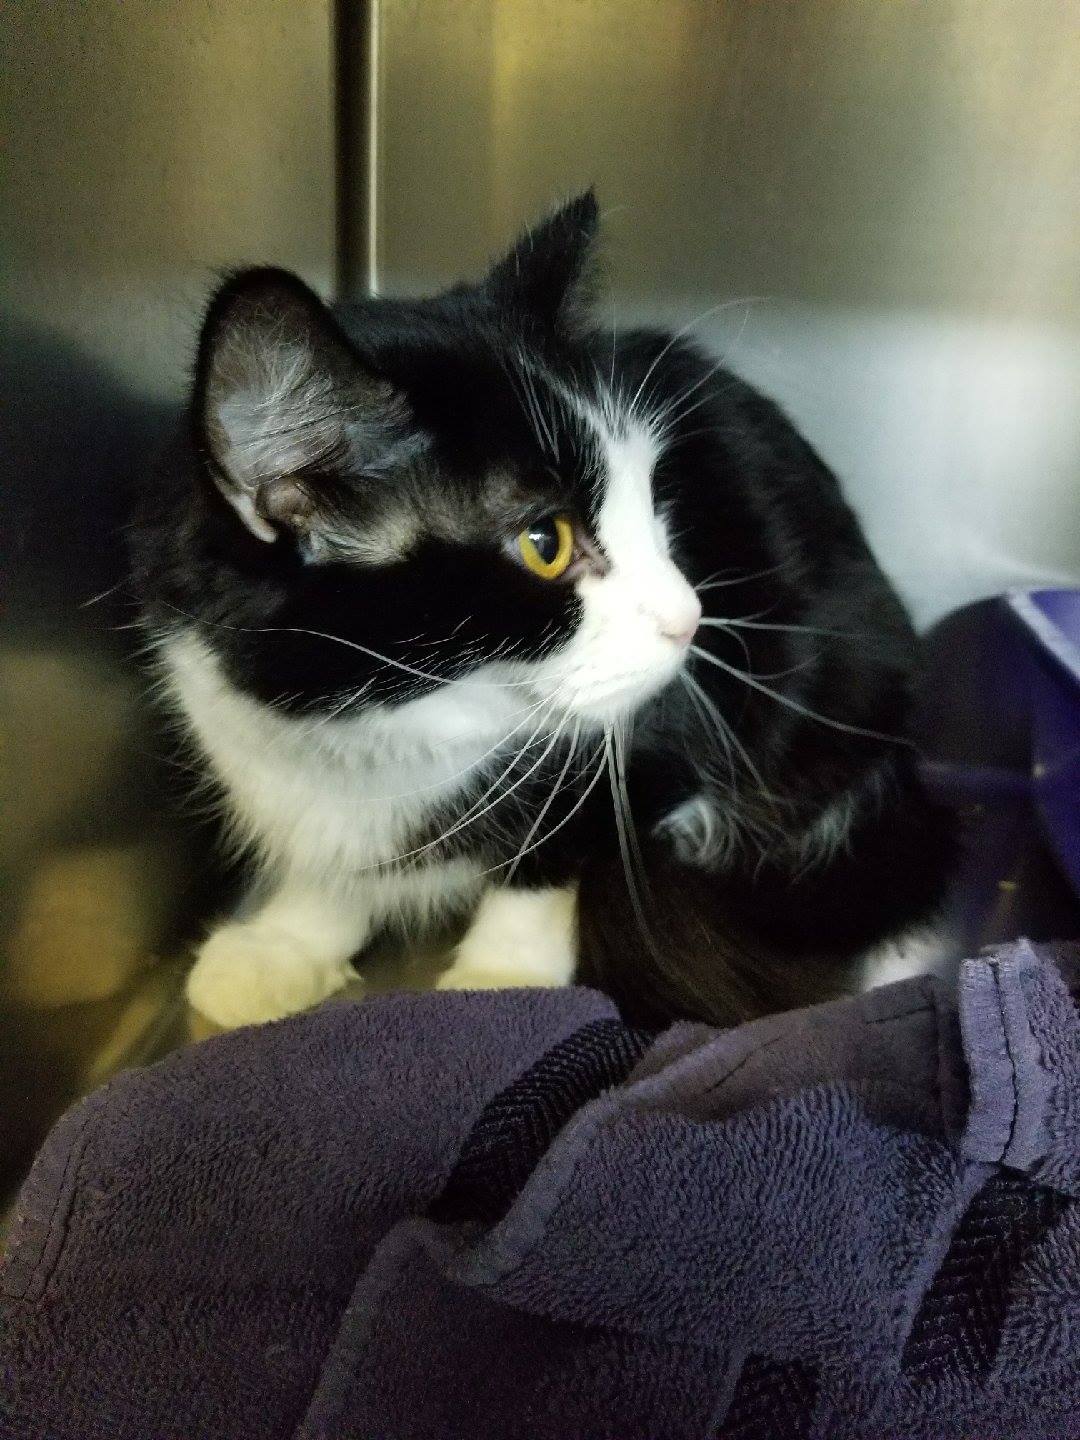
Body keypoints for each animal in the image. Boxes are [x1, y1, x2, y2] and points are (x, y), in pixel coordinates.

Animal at [130, 190, 954, 1030]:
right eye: (545, 544)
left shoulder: (663, 736)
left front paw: (502, 977)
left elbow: (553, 853)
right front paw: (290, 939)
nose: (690, 618)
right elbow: (334, 861)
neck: (392, 725)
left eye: (652, 500)